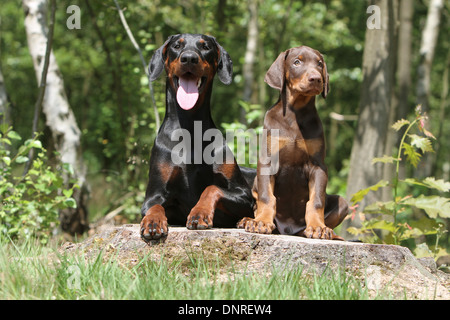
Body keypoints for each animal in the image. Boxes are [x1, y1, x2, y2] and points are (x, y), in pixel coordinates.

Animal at [139, 33, 255, 241]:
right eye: (177, 46)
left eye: (205, 47)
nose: (189, 58)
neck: (189, 126)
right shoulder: (153, 194)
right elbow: (155, 206)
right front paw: (153, 222)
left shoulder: (243, 194)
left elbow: (211, 188)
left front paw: (199, 213)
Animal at [239, 45, 348, 240]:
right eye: (297, 62)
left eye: (320, 64)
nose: (316, 79)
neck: (295, 114)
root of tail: (288, 230)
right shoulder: (268, 161)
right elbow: (267, 196)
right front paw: (262, 222)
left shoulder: (318, 166)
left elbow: (316, 201)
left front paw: (318, 226)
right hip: (255, 186)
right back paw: (249, 220)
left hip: (342, 203)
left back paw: (323, 231)